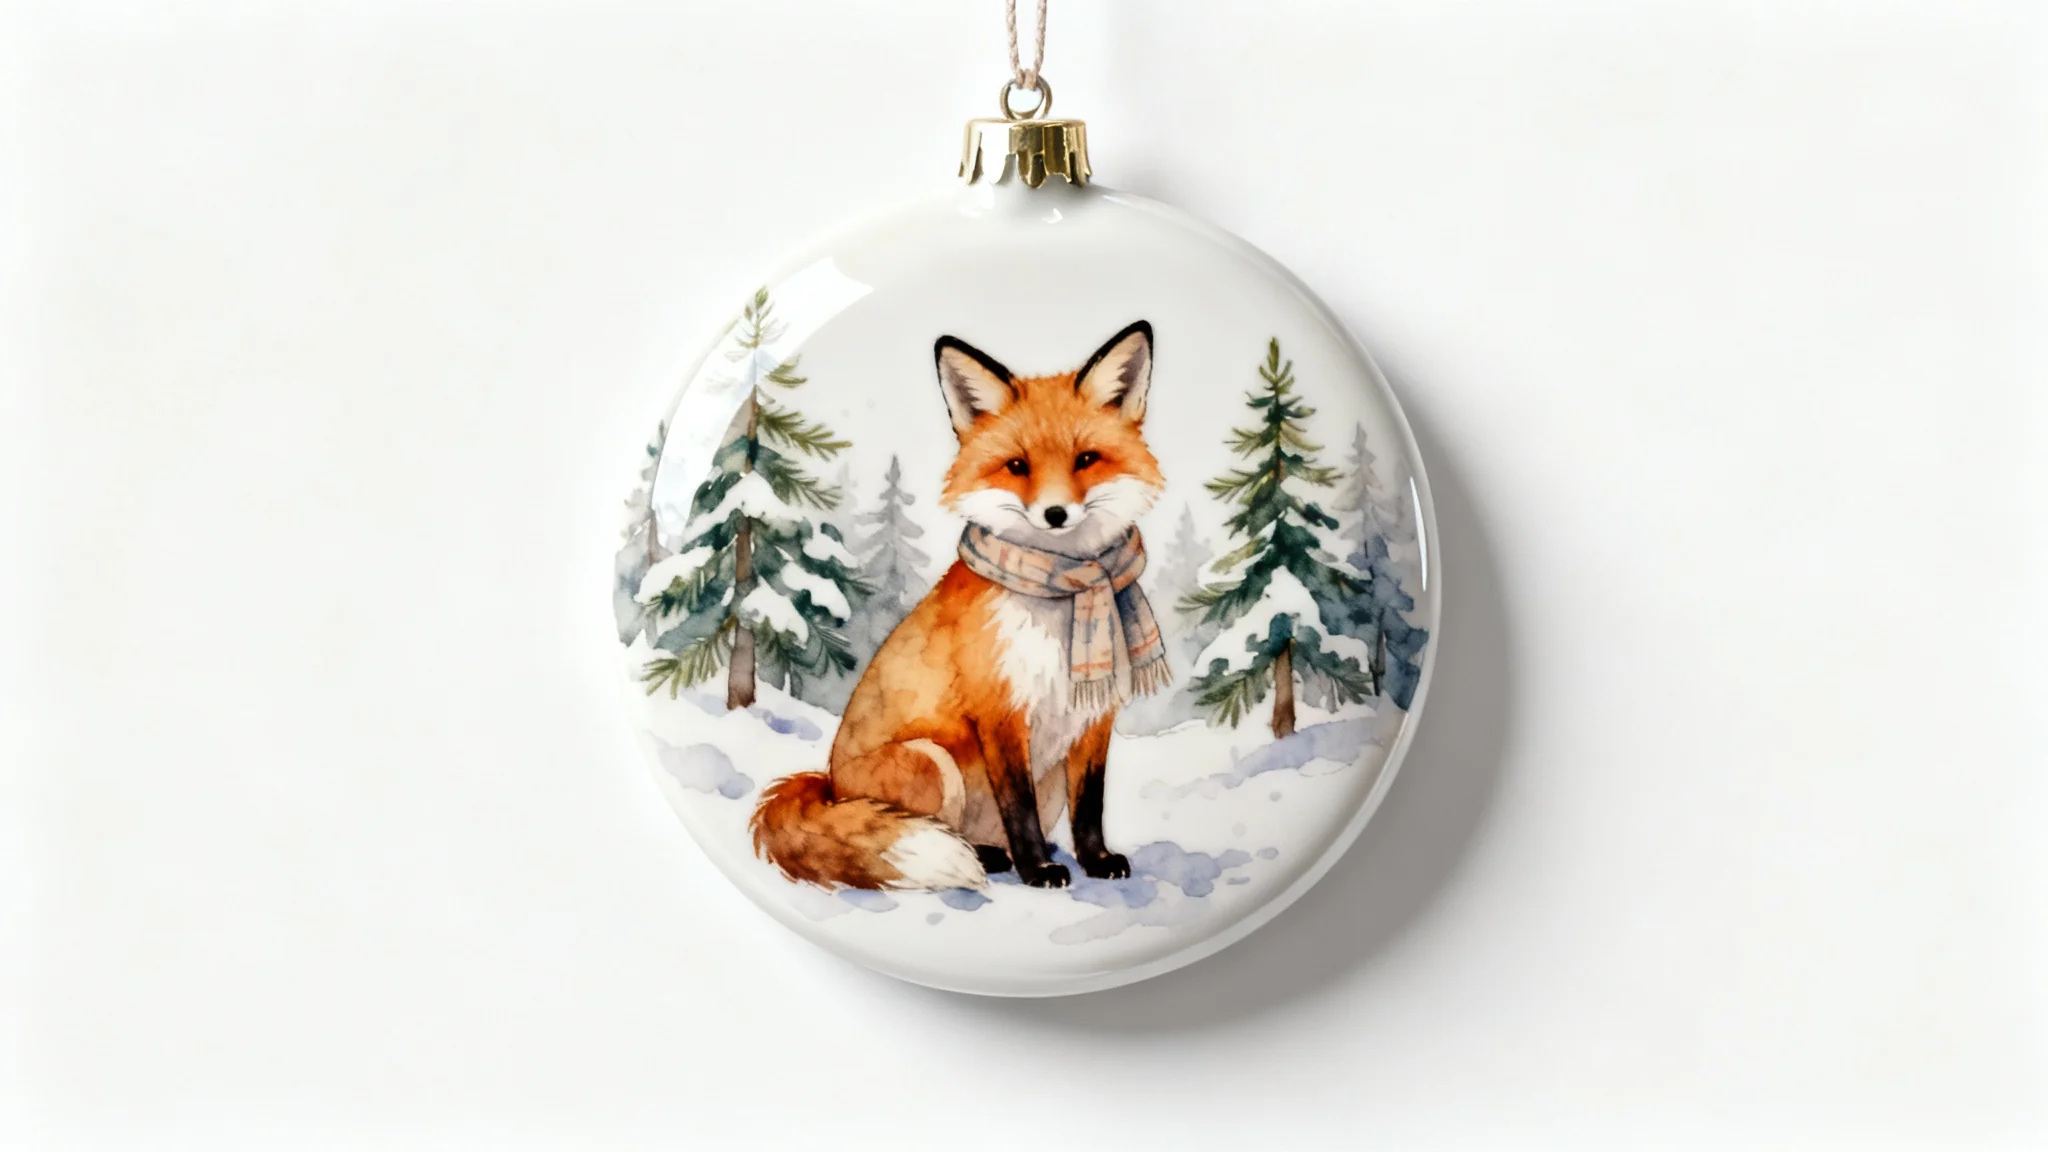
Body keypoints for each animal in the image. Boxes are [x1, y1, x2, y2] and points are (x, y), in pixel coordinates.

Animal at [748, 321, 1170, 890]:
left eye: (1086, 459)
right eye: (1017, 467)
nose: (1055, 514)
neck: (1062, 595)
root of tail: (830, 786)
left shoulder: (1093, 718)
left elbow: (1090, 804)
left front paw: (1097, 860)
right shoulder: (1000, 711)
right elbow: (1018, 806)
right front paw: (1038, 870)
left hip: (1045, 783)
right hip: (933, 762)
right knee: (934, 830)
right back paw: (988, 860)